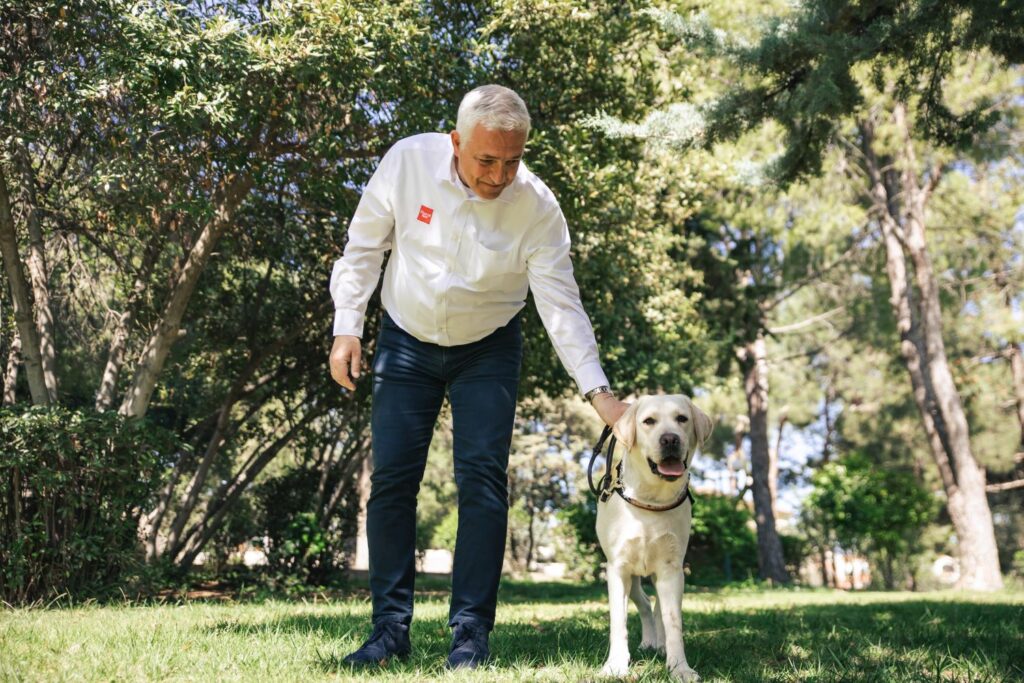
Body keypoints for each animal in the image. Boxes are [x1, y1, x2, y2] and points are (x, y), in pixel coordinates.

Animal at [598, 395, 712, 683]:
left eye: (682, 418)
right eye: (649, 421)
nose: (670, 439)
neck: (651, 499)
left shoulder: (671, 570)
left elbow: (673, 622)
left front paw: (679, 667)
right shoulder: (618, 569)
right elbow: (619, 622)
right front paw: (616, 665)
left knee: (659, 607)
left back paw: (659, 645)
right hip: (633, 578)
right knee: (645, 603)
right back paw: (648, 642)